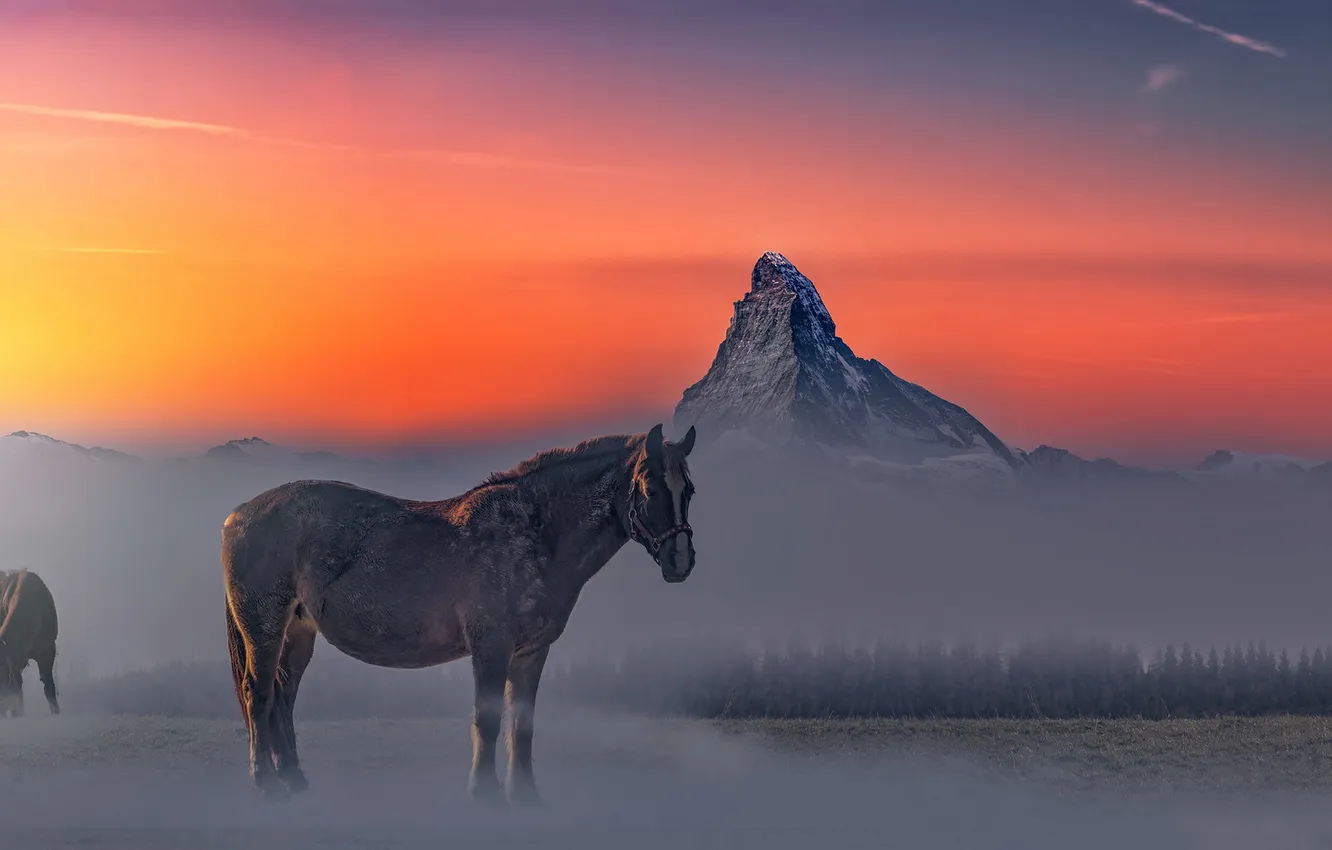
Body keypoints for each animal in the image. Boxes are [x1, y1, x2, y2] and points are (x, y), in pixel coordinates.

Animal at [221, 423, 697, 802]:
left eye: (688, 490)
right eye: (651, 489)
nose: (681, 560)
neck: (535, 532)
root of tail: (237, 514)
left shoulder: (532, 653)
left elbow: (522, 725)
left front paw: (525, 794)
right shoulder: (492, 647)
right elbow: (487, 720)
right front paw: (484, 793)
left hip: (299, 632)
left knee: (284, 695)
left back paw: (294, 779)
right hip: (263, 629)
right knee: (258, 694)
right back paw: (266, 784)